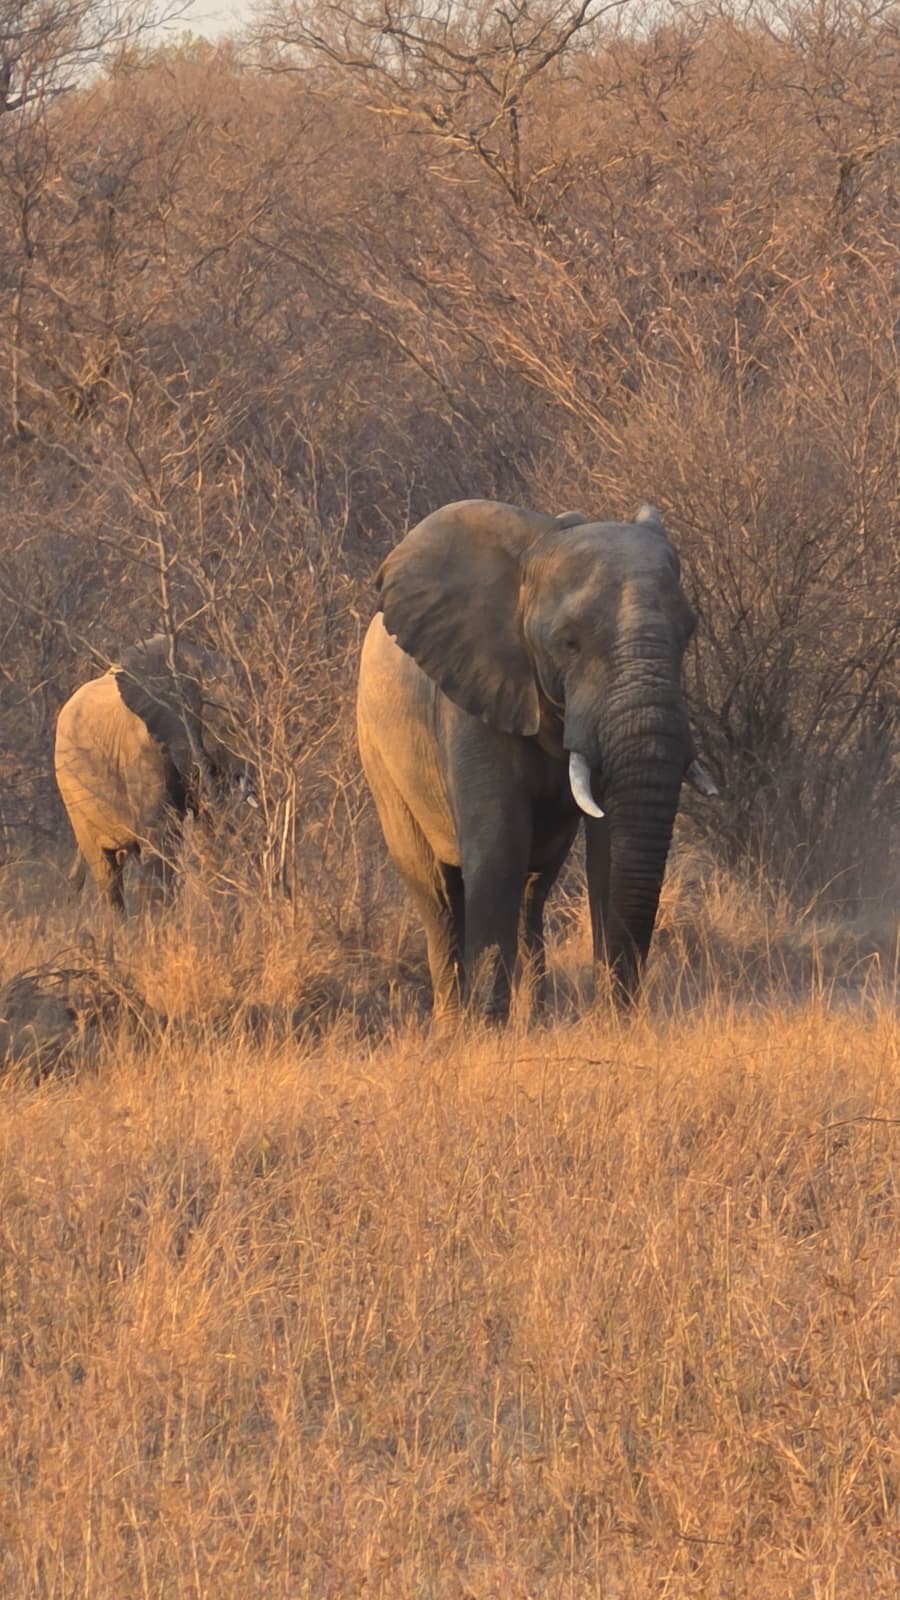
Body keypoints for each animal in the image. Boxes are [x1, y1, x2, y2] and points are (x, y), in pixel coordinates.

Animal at [54, 634, 256, 911]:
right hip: (72, 792)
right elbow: (161, 832)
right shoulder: (141, 747)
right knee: (105, 868)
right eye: (228, 729)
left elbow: (208, 826)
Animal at [357, 499, 717, 1024]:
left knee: (533, 887)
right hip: (378, 753)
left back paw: (534, 1021)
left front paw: (615, 1023)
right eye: (569, 643)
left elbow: (607, 855)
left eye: (687, 632)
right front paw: (486, 1032)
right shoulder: (473, 694)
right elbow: (499, 847)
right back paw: (454, 1027)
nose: (623, 1010)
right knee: (437, 893)